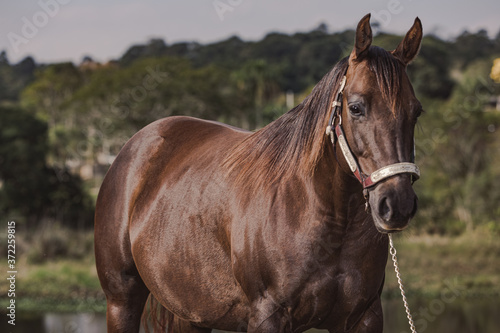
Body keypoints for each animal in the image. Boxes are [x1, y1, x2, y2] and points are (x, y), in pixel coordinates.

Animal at [94, 13, 422, 332]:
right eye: (355, 108)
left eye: (416, 111)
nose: (397, 205)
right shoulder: (267, 315)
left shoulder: (364, 317)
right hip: (121, 302)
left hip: (193, 314)